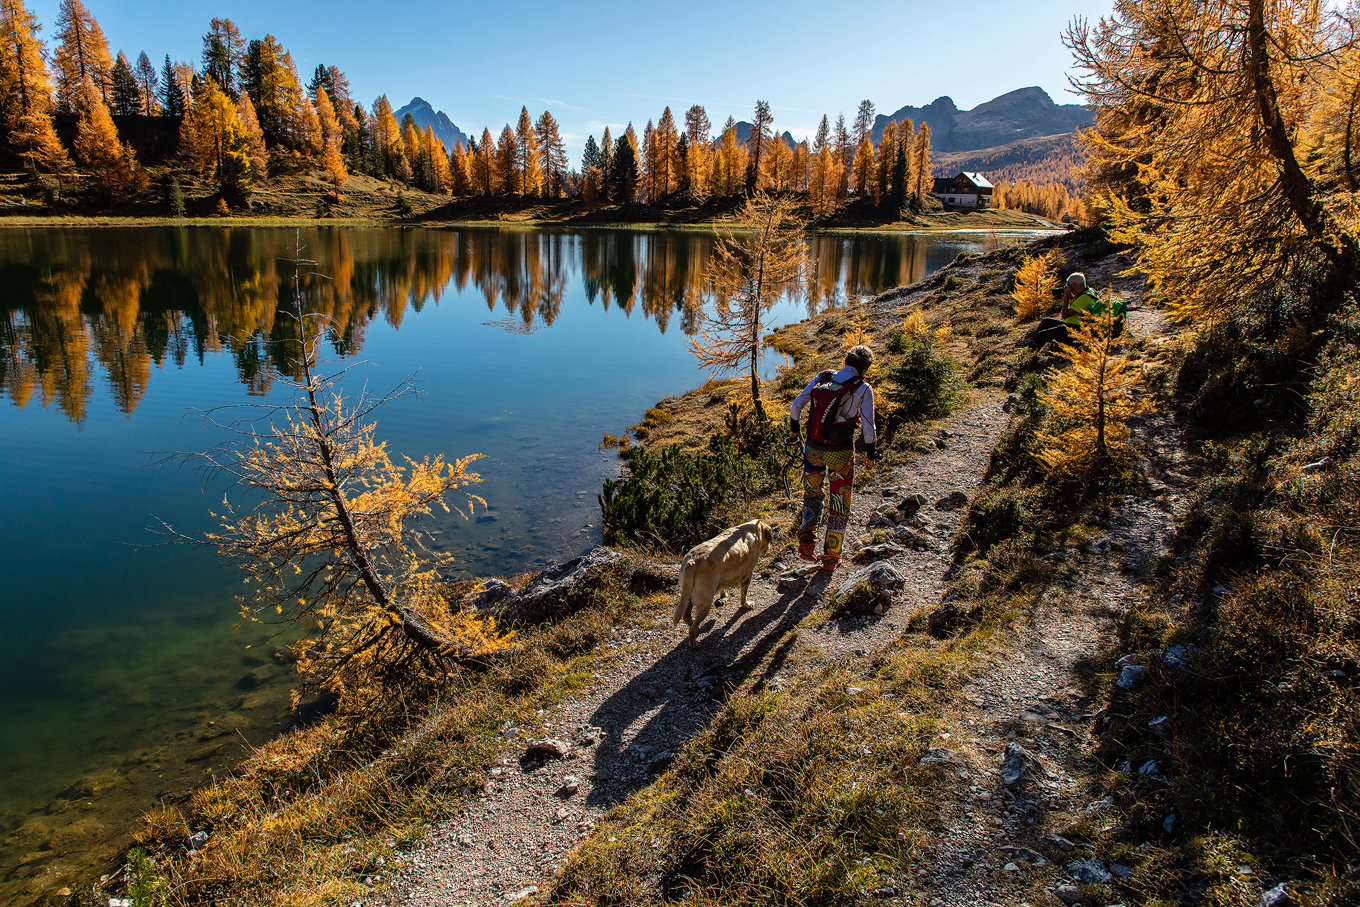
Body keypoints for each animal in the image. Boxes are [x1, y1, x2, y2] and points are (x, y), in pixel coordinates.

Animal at [671, 516, 772, 652]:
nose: (769, 548)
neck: (753, 529)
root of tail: (692, 562)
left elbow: (722, 587)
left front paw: (724, 595)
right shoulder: (747, 575)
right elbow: (743, 595)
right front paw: (746, 605)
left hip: (688, 595)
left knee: (687, 616)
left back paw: (698, 630)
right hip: (705, 602)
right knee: (692, 628)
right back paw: (695, 644)